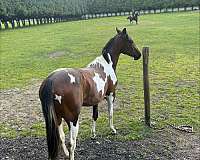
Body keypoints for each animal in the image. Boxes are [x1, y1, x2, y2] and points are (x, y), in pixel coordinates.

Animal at [38, 27, 141, 160]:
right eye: (130, 41)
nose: (139, 55)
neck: (105, 65)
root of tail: (51, 80)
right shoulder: (111, 95)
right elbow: (110, 113)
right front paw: (112, 129)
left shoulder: (96, 100)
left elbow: (95, 116)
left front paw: (93, 134)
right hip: (73, 119)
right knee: (72, 142)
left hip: (57, 118)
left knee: (61, 137)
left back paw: (65, 153)